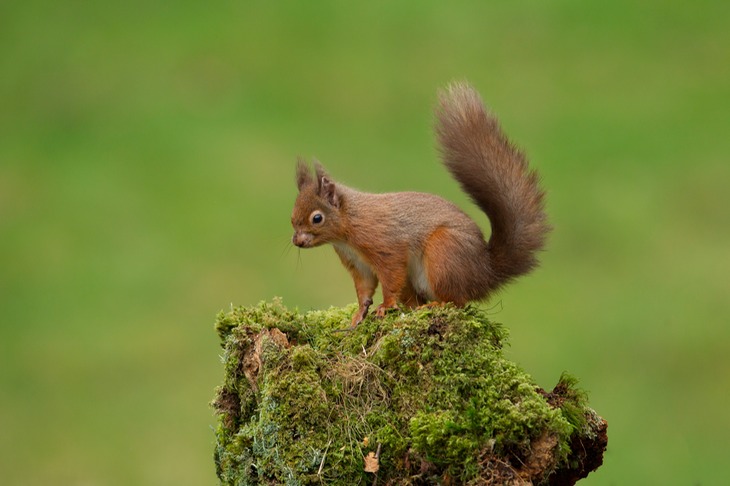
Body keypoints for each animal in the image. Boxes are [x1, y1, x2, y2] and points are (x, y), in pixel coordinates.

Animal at [290, 81, 544, 328]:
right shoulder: (357, 263)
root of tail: (484, 273)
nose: (297, 242)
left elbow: (390, 277)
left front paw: (385, 306)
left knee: (457, 301)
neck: (350, 223)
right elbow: (364, 289)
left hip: (444, 254)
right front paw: (358, 315)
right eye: (292, 219)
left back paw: (435, 305)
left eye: (317, 218)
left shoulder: (384, 245)